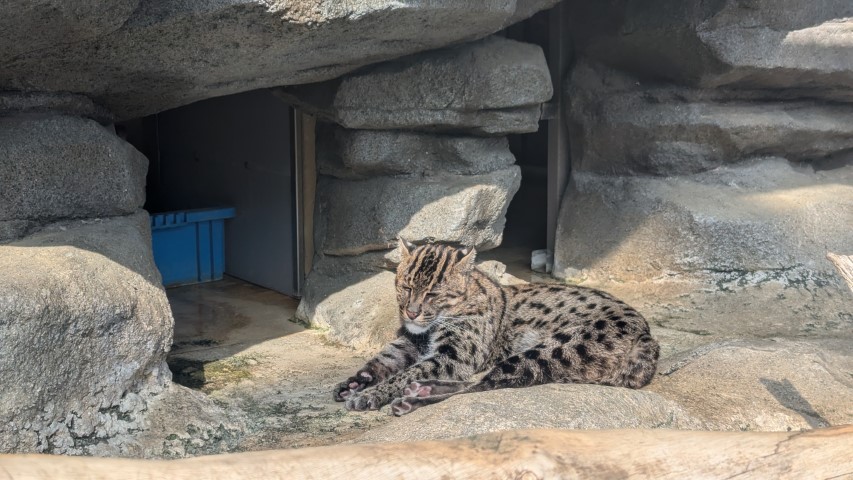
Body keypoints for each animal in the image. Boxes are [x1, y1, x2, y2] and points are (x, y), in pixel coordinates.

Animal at [332, 240, 660, 416]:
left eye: (433, 294)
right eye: (405, 287)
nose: (411, 312)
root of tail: (648, 337)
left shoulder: (455, 356)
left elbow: (406, 373)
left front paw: (372, 394)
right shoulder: (410, 342)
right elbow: (383, 360)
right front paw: (356, 382)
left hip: (550, 350)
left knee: (483, 384)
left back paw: (414, 397)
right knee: (485, 381)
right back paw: (420, 390)